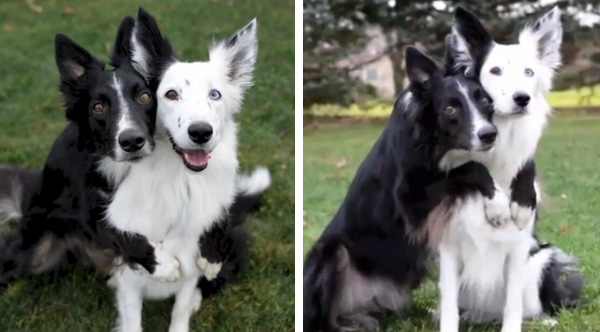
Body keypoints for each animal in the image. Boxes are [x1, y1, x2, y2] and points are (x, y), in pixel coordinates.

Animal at [304, 44, 516, 332]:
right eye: (450, 109)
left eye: (485, 102)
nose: (489, 134)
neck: (432, 140)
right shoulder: (410, 202)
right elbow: (471, 168)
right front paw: (498, 206)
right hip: (331, 252)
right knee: (324, 322)